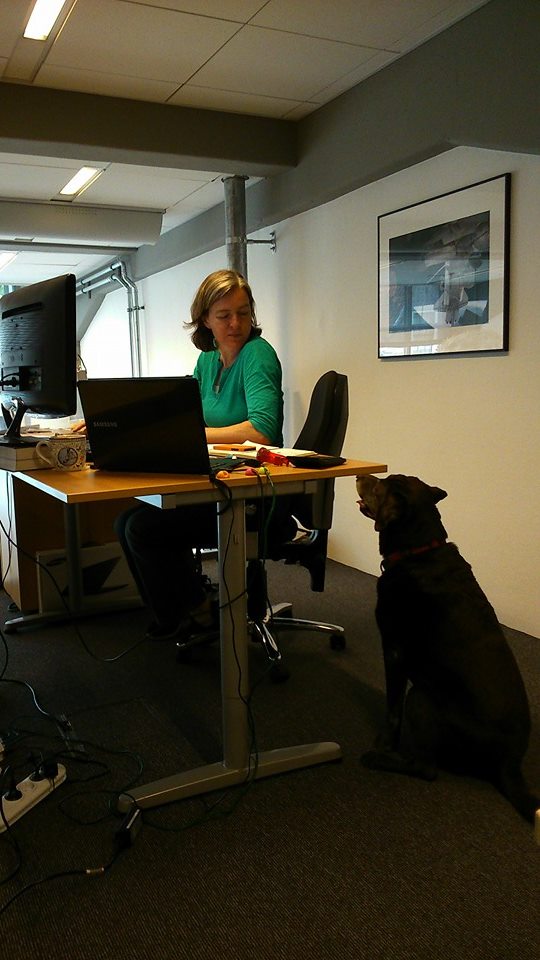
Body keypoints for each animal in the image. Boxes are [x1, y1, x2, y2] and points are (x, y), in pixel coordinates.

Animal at [356, 473, 539, 824]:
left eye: (381, 484)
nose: (359, 474)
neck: (417, 550)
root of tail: (511, 764)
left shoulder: (394, 651)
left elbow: (392, 710)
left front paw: (385, 744)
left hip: (421, 698)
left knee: (427, 768)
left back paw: (378, 759)